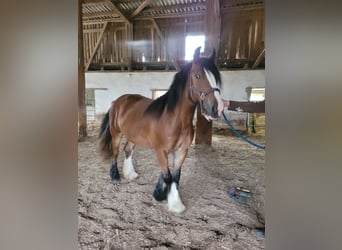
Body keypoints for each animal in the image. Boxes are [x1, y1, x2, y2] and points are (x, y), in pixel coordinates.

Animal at [98, 47, 224, 213]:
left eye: (216, 77)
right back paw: (115, 176)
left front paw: (175, 204)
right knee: (115, 152)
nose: (217, 108)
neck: (175, 119)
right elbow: (168, 176)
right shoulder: (160, 150)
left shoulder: (182, 151)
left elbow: (175, 177)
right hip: (116, 134)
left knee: (128, 150)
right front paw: (160, 194)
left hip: (133, 136)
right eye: (197, 75)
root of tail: (116, 102)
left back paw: (130, 174)